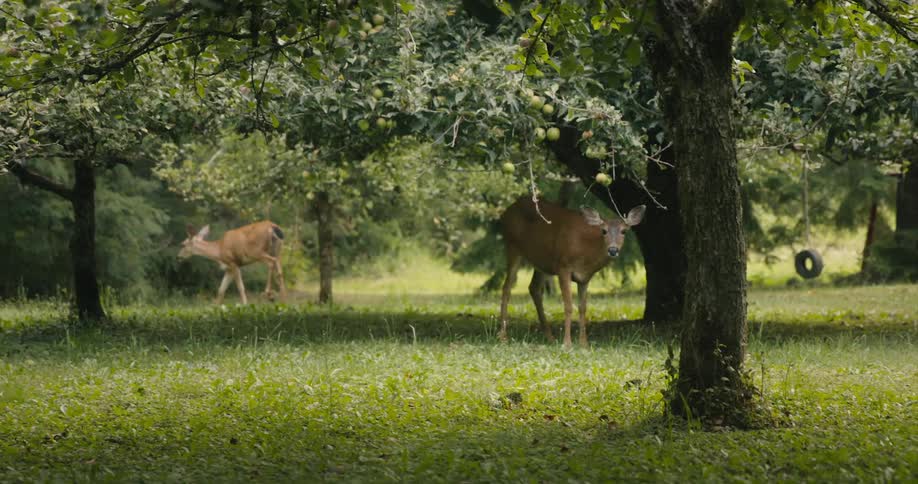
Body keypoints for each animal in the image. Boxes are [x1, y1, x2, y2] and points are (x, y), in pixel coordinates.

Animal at [498, 196, 645, 347]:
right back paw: (503, 336)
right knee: (507, 287)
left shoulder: (585, 278)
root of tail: (506, 212)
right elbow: (568, 306)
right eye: (604, 231)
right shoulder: (563, 266)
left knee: (534, 288)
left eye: (624, 231)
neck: (586, 254)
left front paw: (583, 343)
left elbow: (582, 308)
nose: (613, 250)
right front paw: (567, 343)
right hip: (512, 246)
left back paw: (550, 337)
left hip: (542, 261)